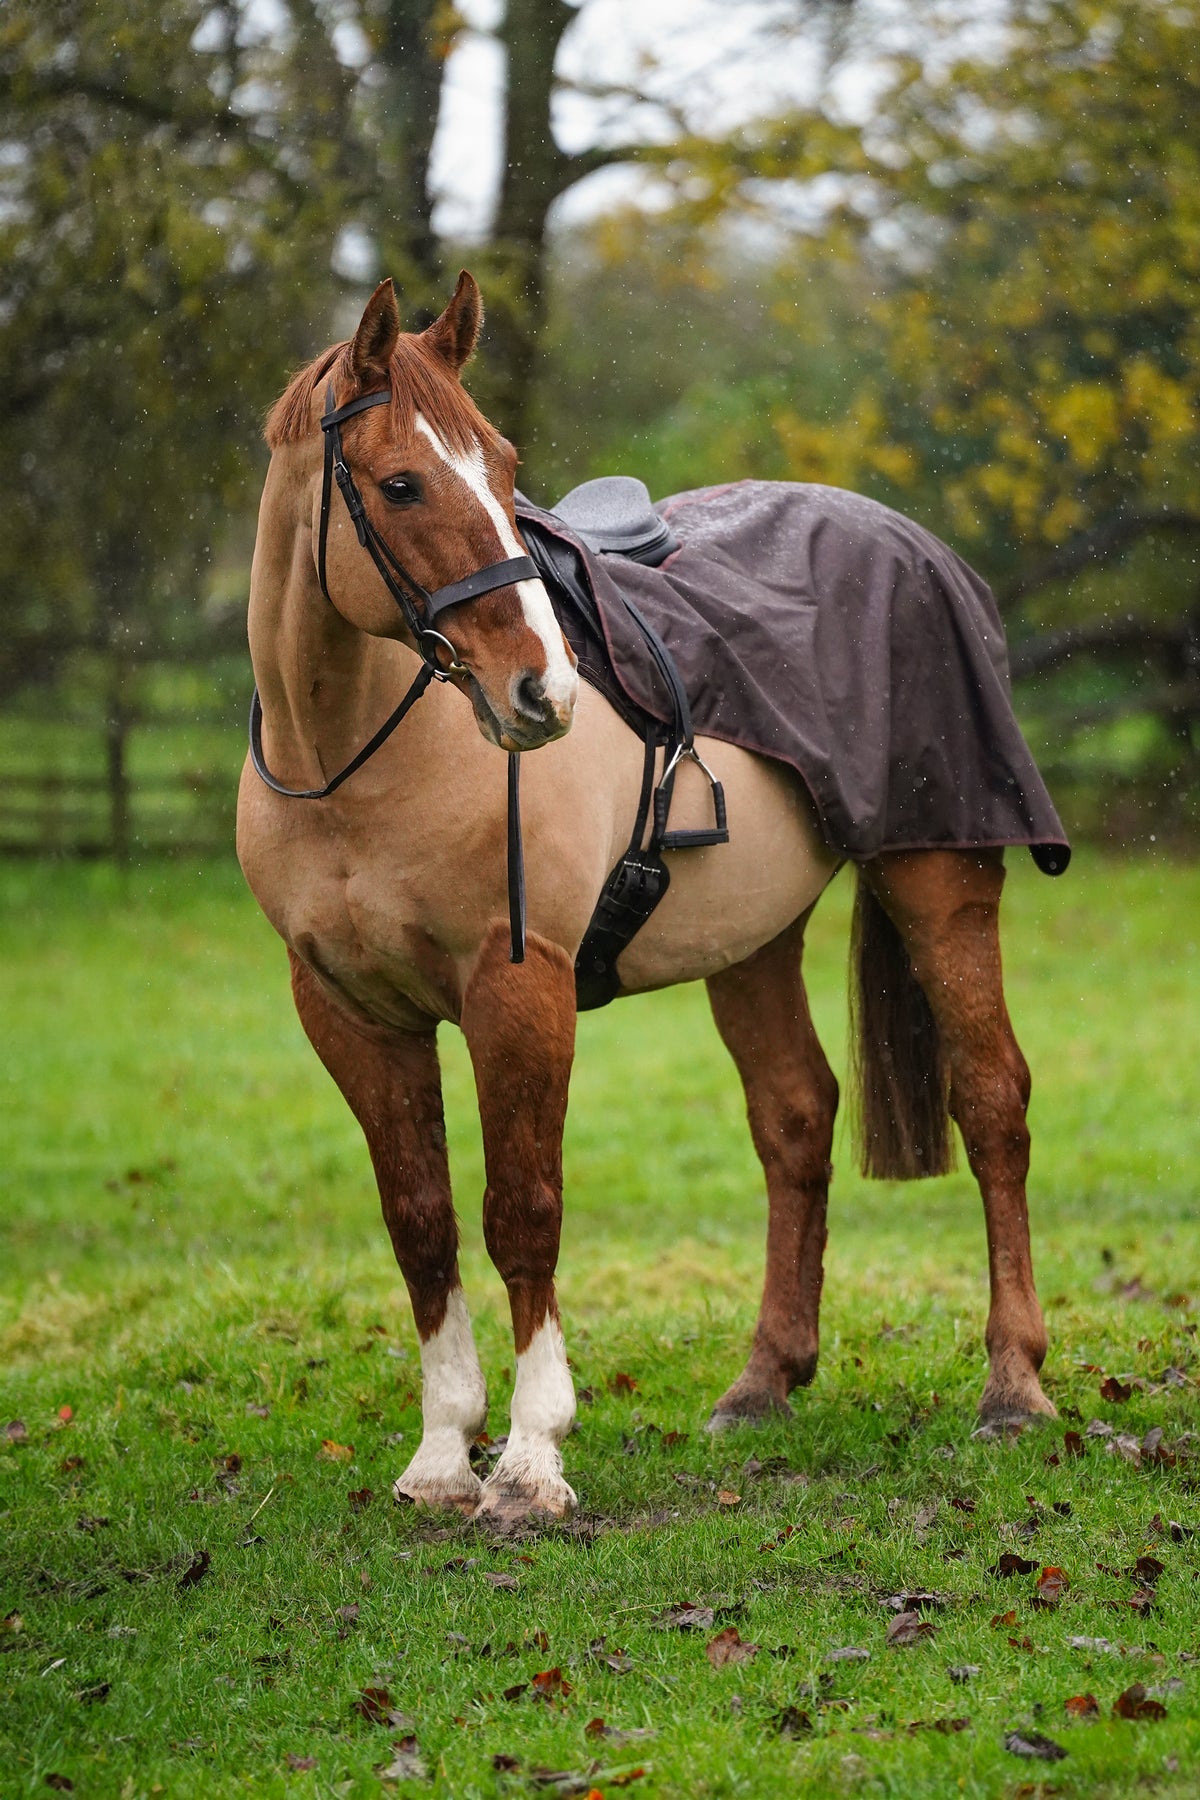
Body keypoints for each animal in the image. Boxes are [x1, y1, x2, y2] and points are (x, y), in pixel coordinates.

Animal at [237, 272, 1055, 1527]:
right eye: (402, 482)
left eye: (504, 466)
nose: (543, 690)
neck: (353, 761)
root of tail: (917, 546)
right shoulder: (350, 1014)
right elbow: (419, 1217)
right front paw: (442, 1452)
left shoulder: (518, 992)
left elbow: (521, 1208)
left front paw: (531, 1458)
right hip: (754, 936)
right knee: (796, 1117)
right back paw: (763, 1384)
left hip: (938, 879)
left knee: (992, 1103)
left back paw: (1013, 1388)